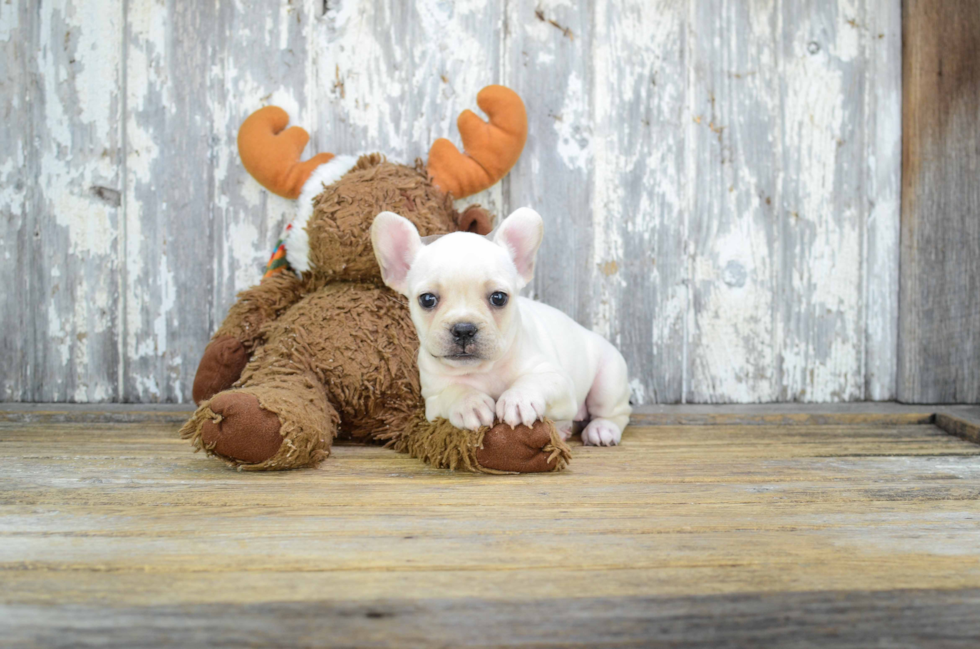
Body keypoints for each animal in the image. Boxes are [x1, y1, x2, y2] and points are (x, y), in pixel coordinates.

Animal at [372, 208, 632, 446]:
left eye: (498, 298)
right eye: (427, 300)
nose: (464, 328)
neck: (485, 369)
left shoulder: (559, 381)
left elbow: (535, 380)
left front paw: (519, 399)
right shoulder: (433, 400)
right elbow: (454, 390)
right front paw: (470, 403)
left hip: (608, 381)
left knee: (616, 412)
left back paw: (602, 429)